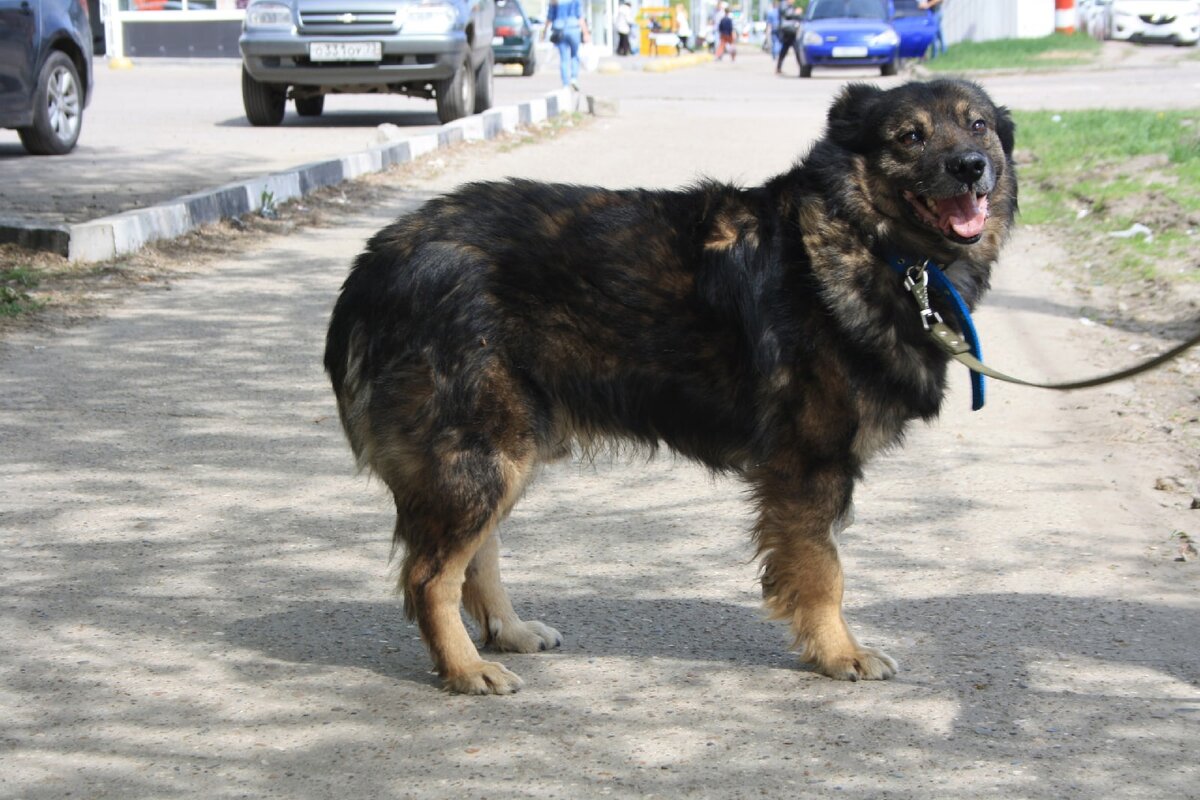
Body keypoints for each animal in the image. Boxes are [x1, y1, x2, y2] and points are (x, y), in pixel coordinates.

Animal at [326, 79, 1012, 695]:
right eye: (909, 137)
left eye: (977, 126)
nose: (970, 166)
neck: (869, 241)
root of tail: (377, 261)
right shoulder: (810, 468)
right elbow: (825, 574)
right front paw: (839, 653)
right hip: (481, 451)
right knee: (430, 576)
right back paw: (466, 668)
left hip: (501, 453)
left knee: (476, 558)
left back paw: (506, 633)